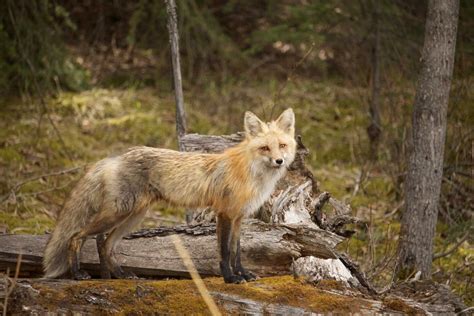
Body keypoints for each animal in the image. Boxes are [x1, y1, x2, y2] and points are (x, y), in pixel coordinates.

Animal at [44, 108, 296, 284]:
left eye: (282, 145)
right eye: (265, 148)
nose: (279, 161)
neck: (252, 173)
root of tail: (116, 157)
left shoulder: (238, 217)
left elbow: (236, 252)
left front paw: (243, 274)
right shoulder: (224, 213)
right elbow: (225, 252)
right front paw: (230, 278)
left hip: (132, 217)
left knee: (105, 245)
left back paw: (119, 275)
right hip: (117, 213)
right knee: (76, 237)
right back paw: (78, 273)